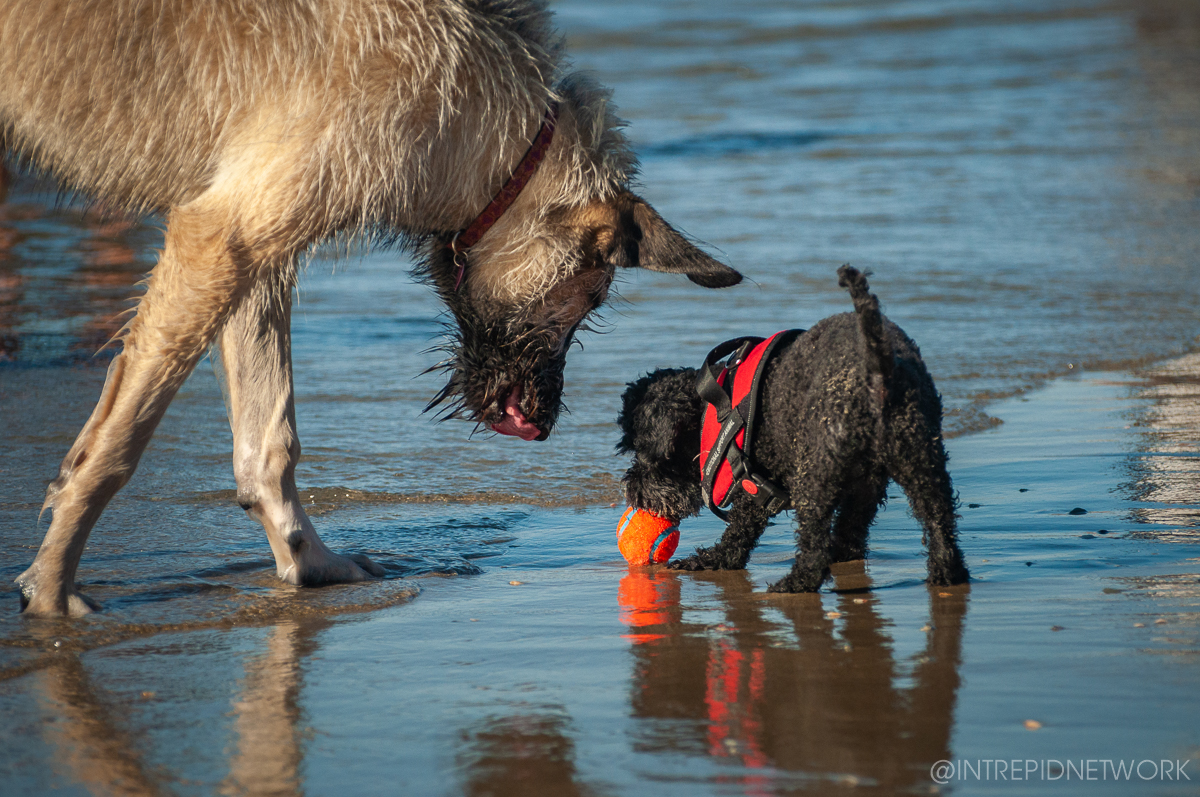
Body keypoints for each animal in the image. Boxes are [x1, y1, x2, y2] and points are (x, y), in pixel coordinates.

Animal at [2, 0, 739, 614]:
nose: (543, 423)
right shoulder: (218, 240)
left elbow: (268, 443)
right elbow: (114, 446)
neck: (498, 138)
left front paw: (310, 562)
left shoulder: (255, 245)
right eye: (590, 294)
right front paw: (52, 587)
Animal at [614, 267, 969, 590]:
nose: (632, 490)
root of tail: (878, 370)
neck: (718, 404)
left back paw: (796, 582)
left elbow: (742, 527)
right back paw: (947, 574)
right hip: (922, 460)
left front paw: (712, 560)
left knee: (813, 545)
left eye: (640, 450)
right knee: (940, 520)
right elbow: (852, 525)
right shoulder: (865, 483)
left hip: (815, 475)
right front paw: (844, 554)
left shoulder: (755, 478)